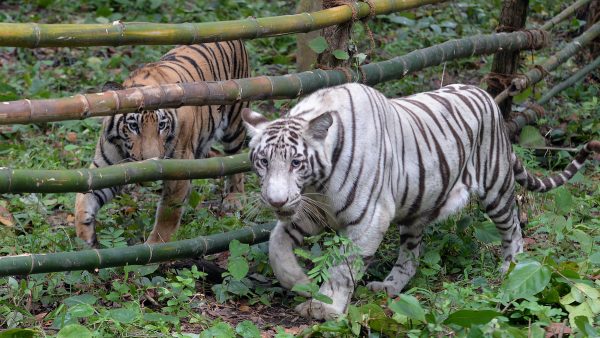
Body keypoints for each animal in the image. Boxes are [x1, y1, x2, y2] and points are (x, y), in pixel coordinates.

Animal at [241, 82, 596, 320]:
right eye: (263, 162)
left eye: (296, 163)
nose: (275, 200)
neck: (317, 184)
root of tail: (489, 97)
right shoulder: (310, 211)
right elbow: (276, 247)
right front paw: (302, 284)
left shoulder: (368, 218)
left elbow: (343, 268)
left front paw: (327, 308)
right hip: (416, 208)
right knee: (411, 256)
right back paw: (389, 287)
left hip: (496, 187)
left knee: (513, 227)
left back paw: (510, 268)